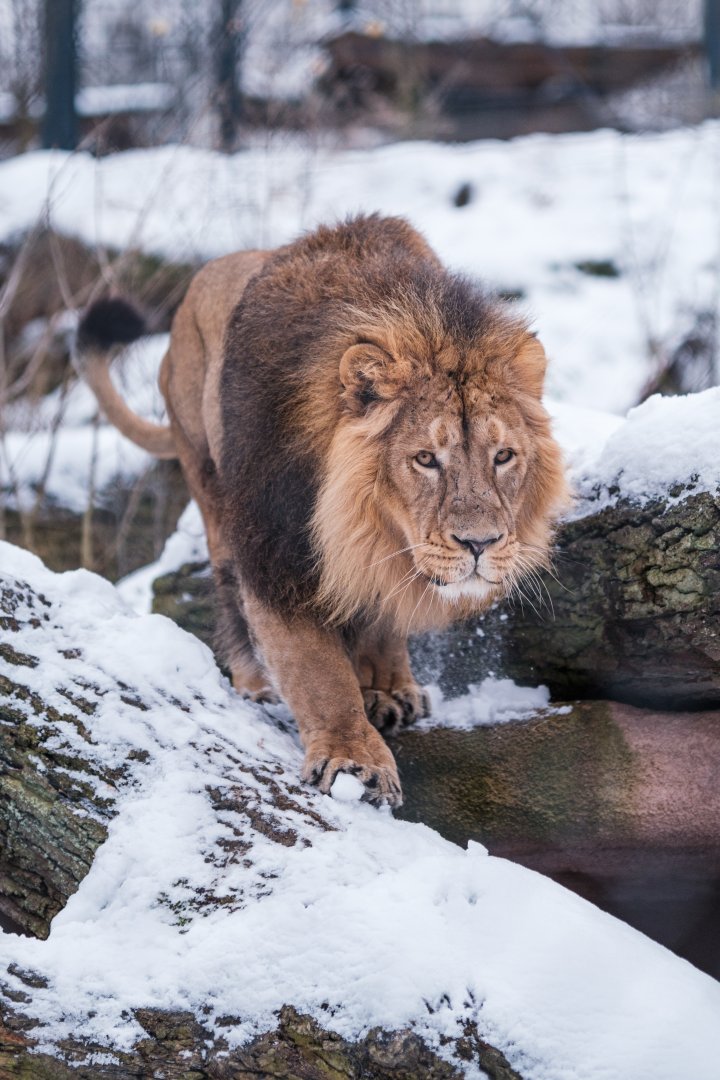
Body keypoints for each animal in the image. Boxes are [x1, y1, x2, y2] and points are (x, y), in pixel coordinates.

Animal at [75, 214, 568, 808]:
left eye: (503, 456)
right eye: (426, 459)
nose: (481, 544)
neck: (362, 520)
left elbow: (380, 613)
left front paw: (385, 688)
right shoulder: (276, 552)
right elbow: (315, 668)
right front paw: (354, 758)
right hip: (208, 478)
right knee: (228, 589)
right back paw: (257, 683)